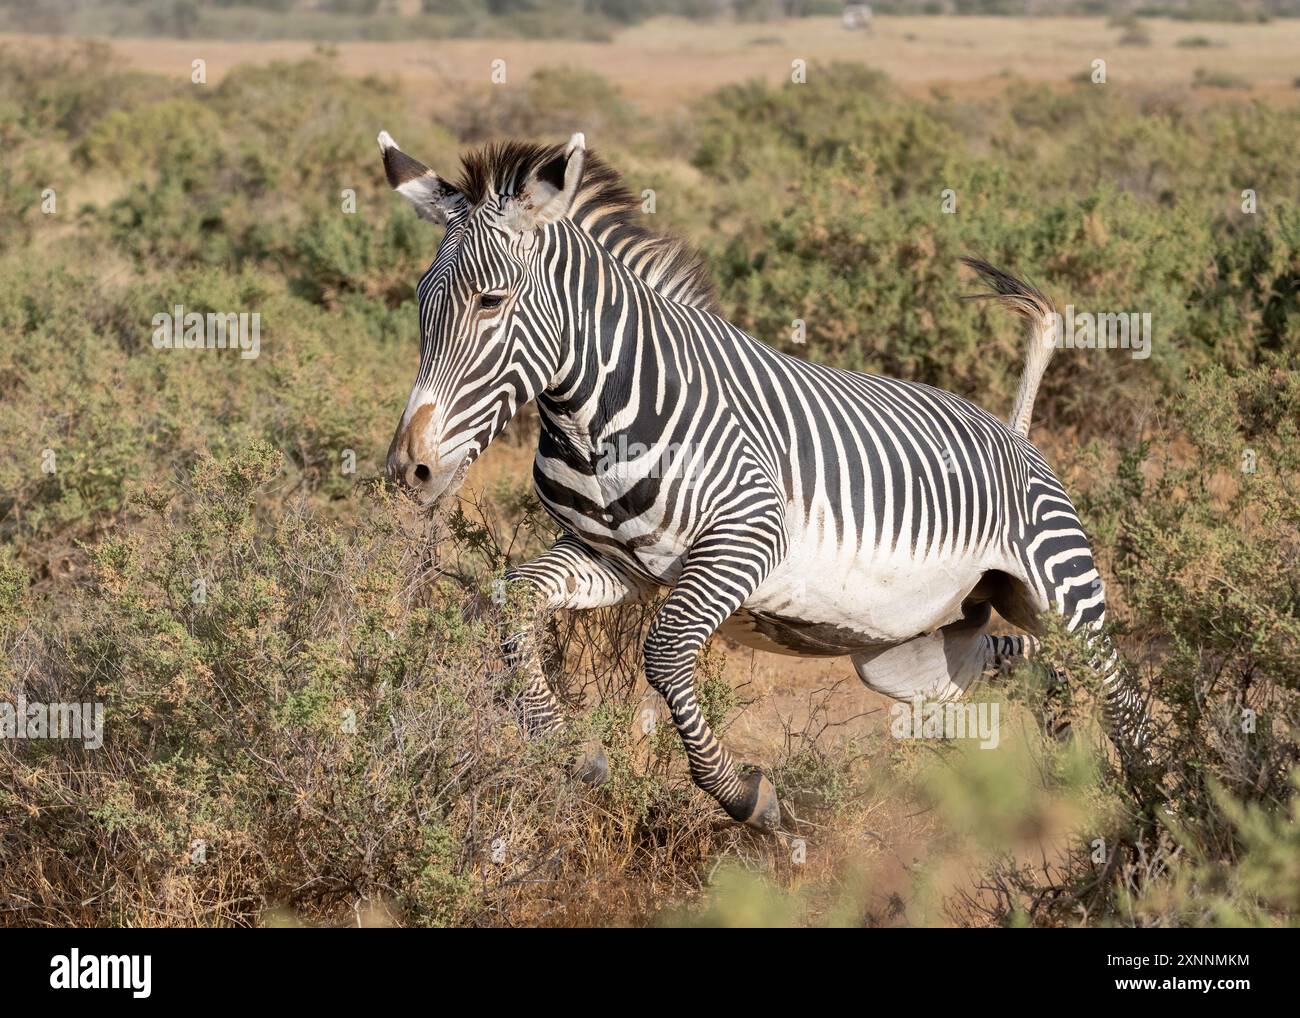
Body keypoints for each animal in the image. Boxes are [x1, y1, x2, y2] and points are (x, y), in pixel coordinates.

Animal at [377, 129, 1149, 826]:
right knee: (1019, 666)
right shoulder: (614, 560)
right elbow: (512, 600)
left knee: (1123, 694)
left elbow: (664, 654)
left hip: (1061, 592)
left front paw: (744, 796)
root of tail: (1014, 434)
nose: (410, 469)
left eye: (491, 302)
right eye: (420, 301)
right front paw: (568, 748)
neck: (595, 417)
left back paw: (1153, 812)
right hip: (912, 645)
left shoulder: (746, 539)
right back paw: (1062, 756)